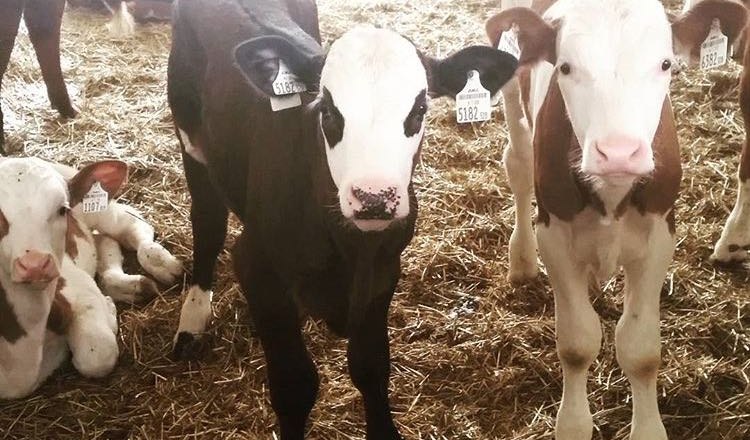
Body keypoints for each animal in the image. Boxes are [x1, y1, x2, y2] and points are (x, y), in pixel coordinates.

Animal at [0, 157, 182, 400]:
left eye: (63, 209)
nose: (35, 264)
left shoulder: (76, 284)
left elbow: (97, 355)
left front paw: (109, 313)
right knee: (105, 244)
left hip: (99, 209)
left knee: (132, 226)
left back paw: (163, 264)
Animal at [167, 0, 518, 437]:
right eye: (328, 111)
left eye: (419, 110)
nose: (374, 197)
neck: (348, 247)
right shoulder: (255, 263)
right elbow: (295, 385)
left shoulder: (383, 271)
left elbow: (371, 367)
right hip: (190, 134)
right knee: (208, 221)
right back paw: (193, 317)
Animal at [486, 0, 747, 438]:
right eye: (565, 67)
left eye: (665, 64)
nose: (620, 151)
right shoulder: (554, 237)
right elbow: (577, 343)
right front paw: (573, 424)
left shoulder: (659, 237)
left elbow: (640, 349)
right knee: (518, 163)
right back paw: (520, 259)